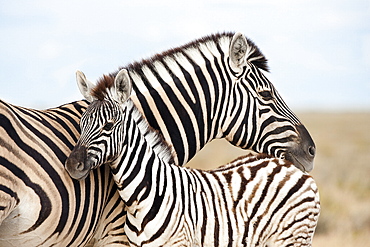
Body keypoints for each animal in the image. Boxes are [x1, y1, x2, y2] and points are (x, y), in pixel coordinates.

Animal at [65, 69, 320, 247]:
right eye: (81, 123)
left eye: (108, 126)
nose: (71, 165)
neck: (143, 195)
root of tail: (293, 168)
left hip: (292, 238)